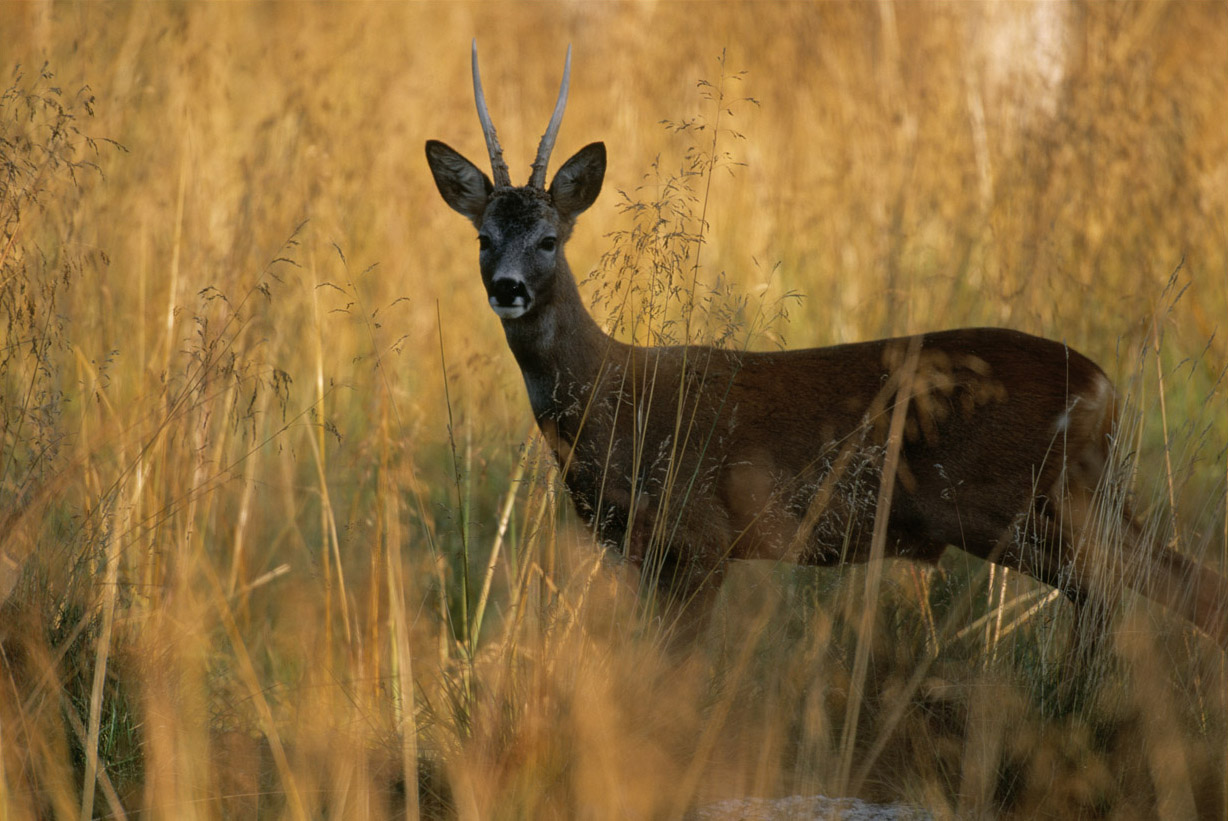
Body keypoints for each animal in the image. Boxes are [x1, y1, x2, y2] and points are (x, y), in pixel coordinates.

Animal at [424, 43, 1228, 652]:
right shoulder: (645, 551)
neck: (613, 399)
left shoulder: (703, 531)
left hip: (1019, 504)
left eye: (549, 239)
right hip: (1078, 498)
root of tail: (1105, 388)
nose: (508, 287)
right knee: (1176, 585)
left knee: (1116, 595)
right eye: (483, 237)